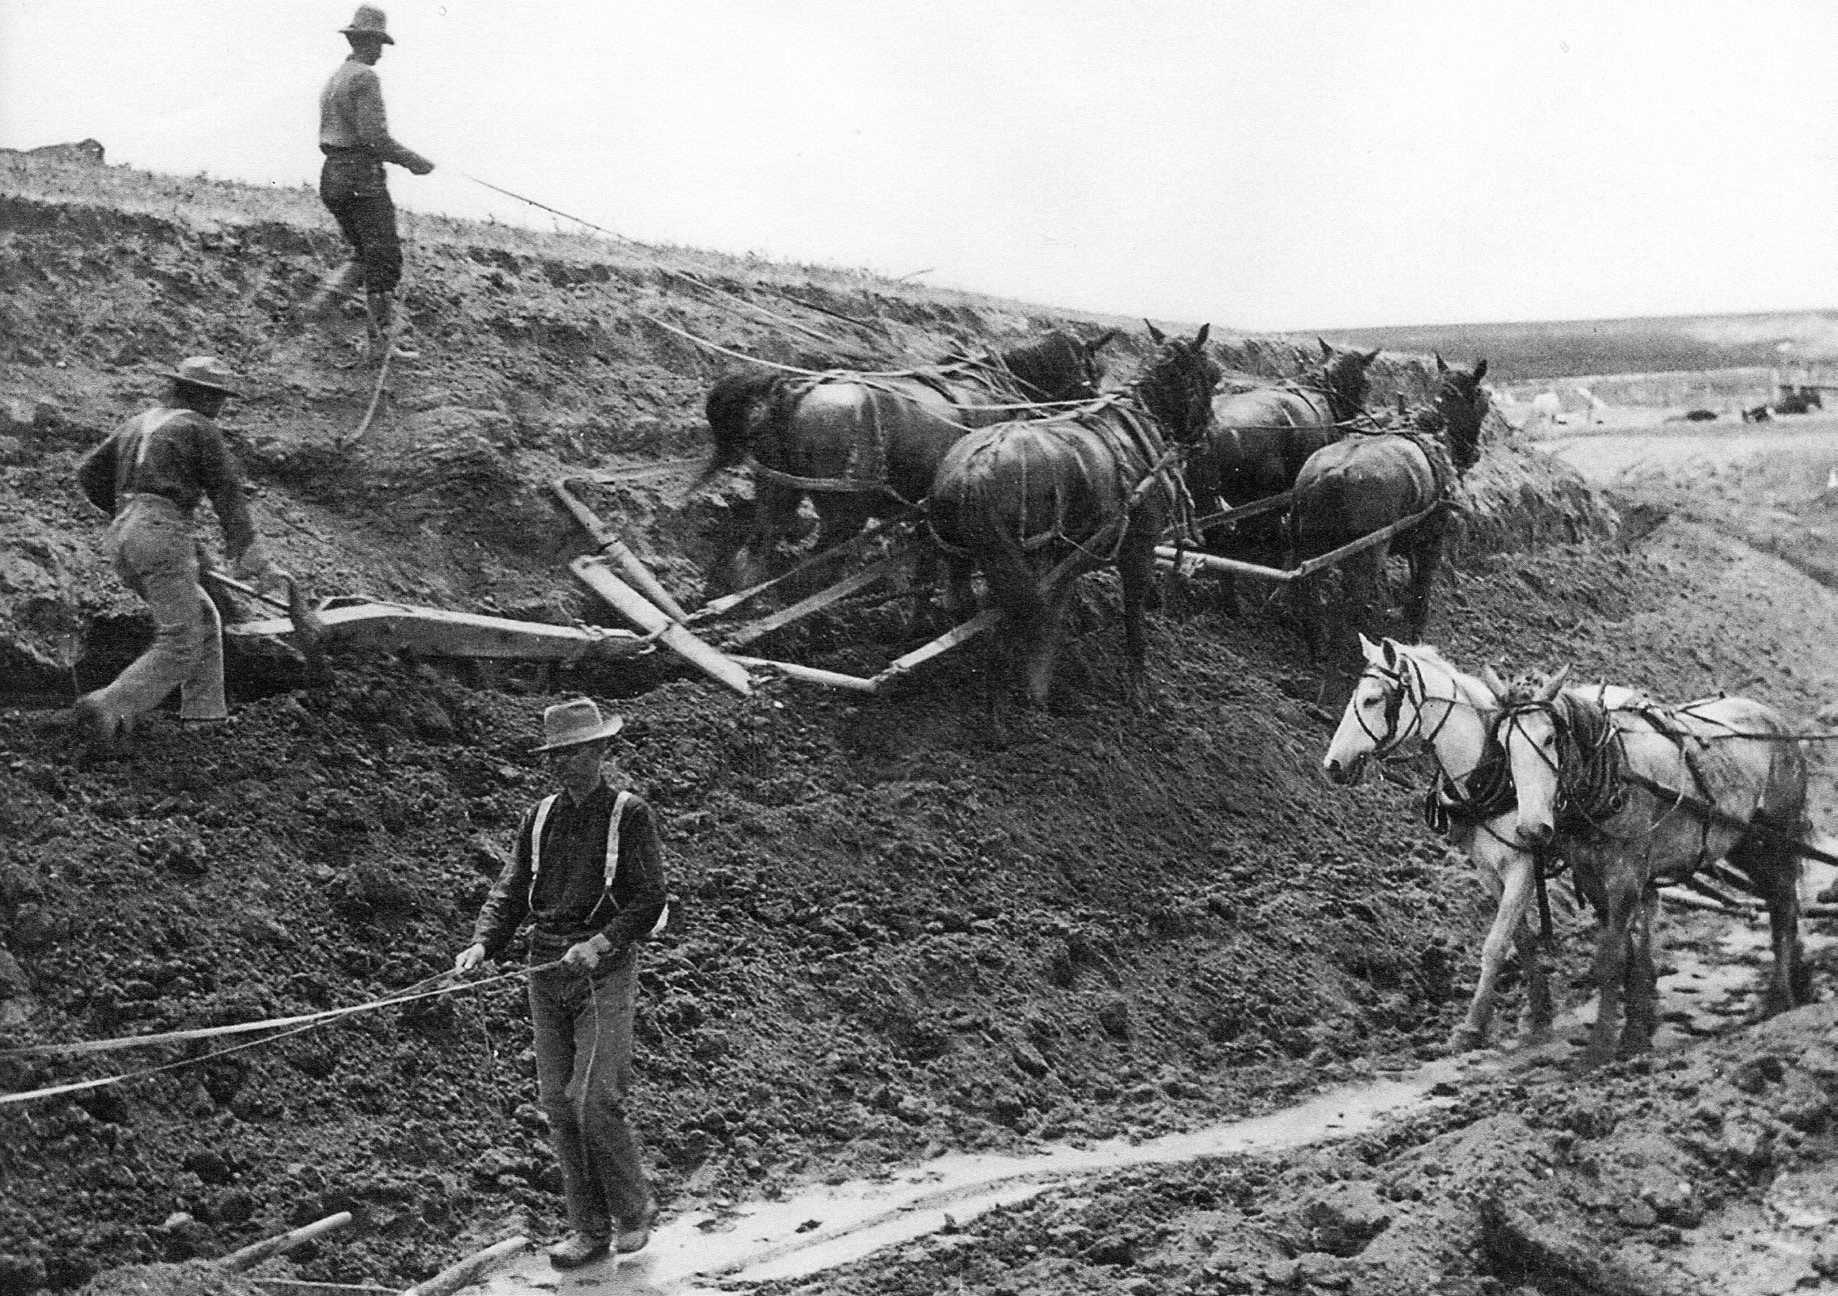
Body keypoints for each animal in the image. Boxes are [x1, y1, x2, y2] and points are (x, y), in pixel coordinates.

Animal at [694, 329, 1110, 588]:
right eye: (1095, 370)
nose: (1095, 411)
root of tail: (792, 391)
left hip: (776, 491)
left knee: (752, 556)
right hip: (844, 514)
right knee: (814, 569)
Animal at [933, 329, 1220, 702]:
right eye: (1213, 376)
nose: (1209, 434)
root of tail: (974, 470)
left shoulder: (1067, 562)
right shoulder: (1138, 550)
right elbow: (1133, 615)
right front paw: (1138, 687)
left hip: (962, 557)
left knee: (963, 604)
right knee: (1017, 623)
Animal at [1286, 352, 1485, 691]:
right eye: (1483, 400)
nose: (1474, 454)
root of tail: (1331, 475)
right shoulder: (1432, 542)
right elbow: (1420, 593)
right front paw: (1416, 642)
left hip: (1308, 548)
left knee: (1309, 595)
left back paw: (1317, 649)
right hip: (1366, 556)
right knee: (1350, 606)